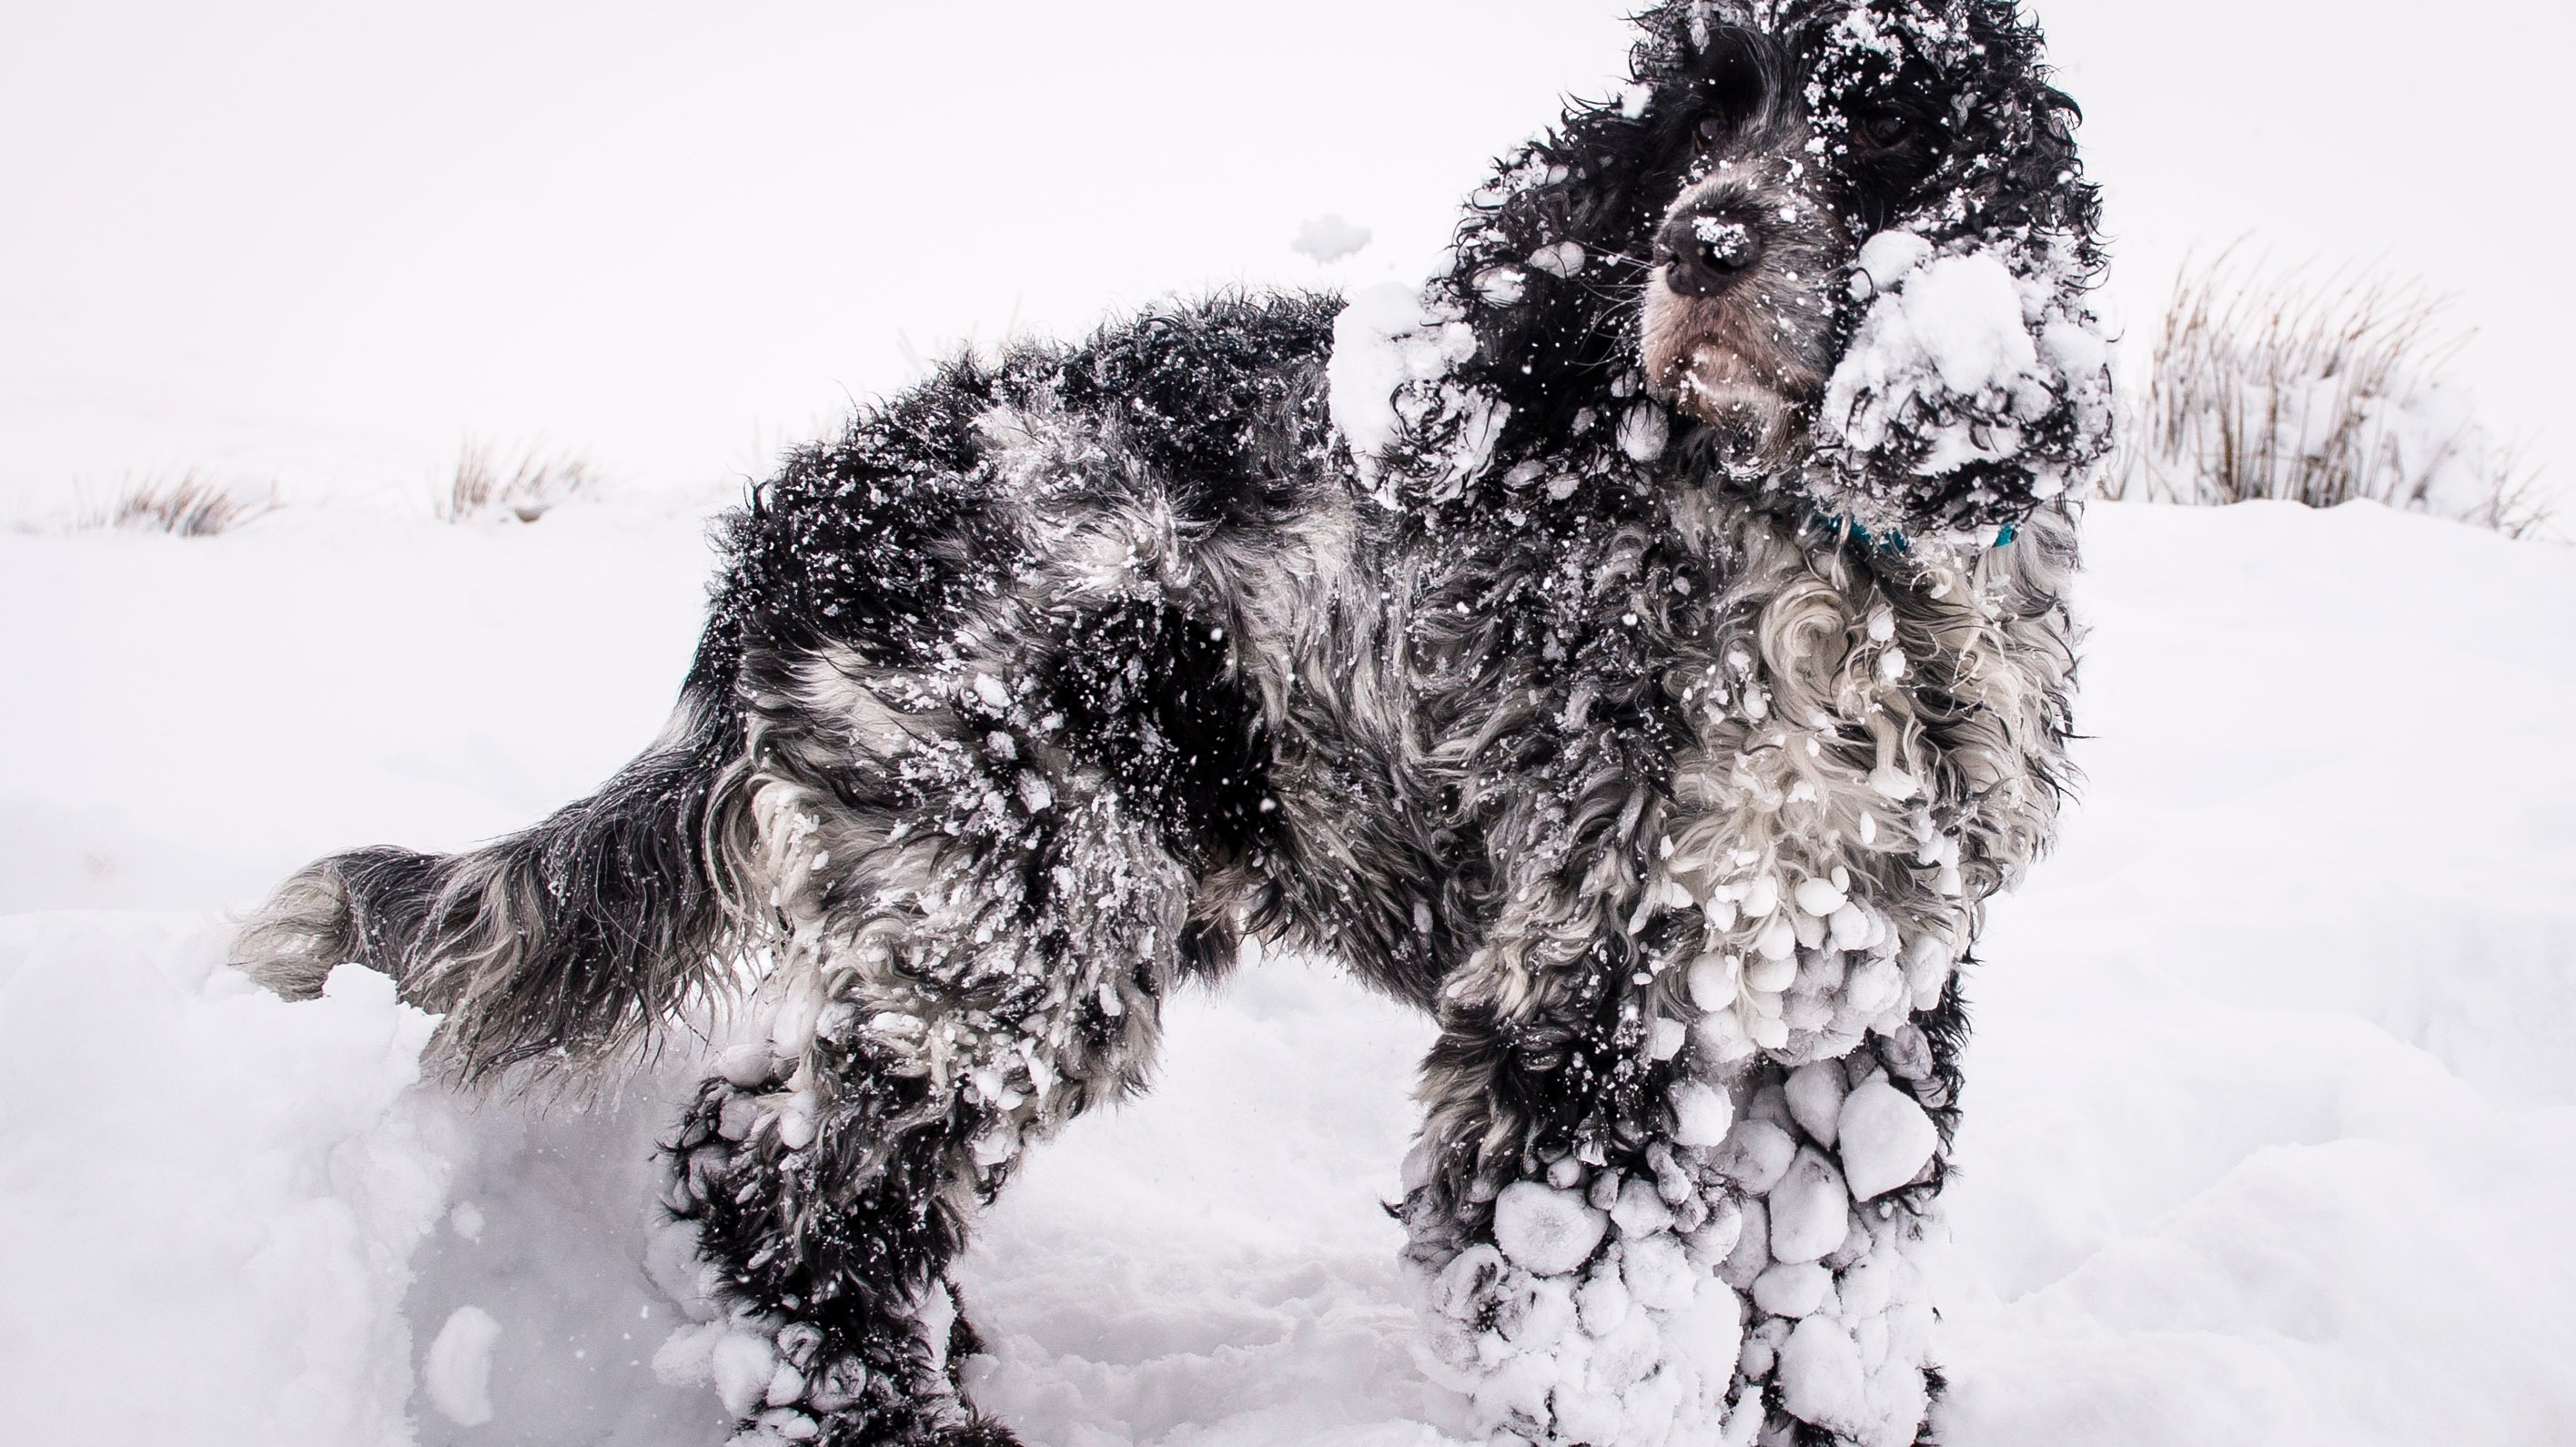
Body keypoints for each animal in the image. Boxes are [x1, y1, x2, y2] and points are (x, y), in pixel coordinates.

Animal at [231, 5, 2102, 1432]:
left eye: (1882, 131)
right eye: (1695, 107)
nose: (1702, 239)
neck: (1823, 546)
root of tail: (796, 524)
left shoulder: (1839, 1015)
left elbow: (1825, 1299)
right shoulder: (1591, 1018)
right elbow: (1610, 1324)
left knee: (760, 1139)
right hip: (1022, 900)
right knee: (800, 1201)